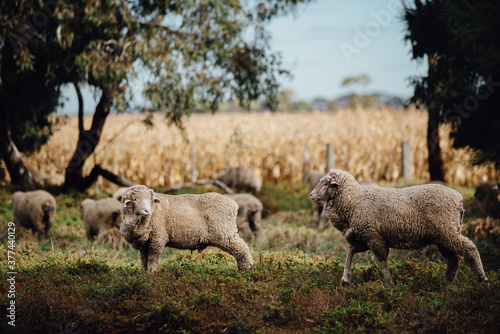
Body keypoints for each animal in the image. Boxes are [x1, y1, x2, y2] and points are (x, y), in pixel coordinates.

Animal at [118, 184, 254, 272]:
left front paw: (152, 275)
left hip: (225, 232)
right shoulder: (144, 243)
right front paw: (143, 276)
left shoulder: (158, 239)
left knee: (243, 249)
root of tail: (234, 204)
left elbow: (152, 260)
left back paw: (246, 270)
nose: (147, 211)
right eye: (135, 199)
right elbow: (143, 261)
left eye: (150, 199)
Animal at [308, 170, 488, 284]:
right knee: (455, 258)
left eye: (326, 184)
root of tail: (459, 200)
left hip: (446, 231)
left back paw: (482, 280)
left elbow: (382, 258)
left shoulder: (373, 235)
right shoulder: (364, 236)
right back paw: (448, 284)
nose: (311, 195)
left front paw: (389, 282)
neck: (353, 200)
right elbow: (350, 251)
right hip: (446, 234)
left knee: (470, 248)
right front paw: (345, 278)